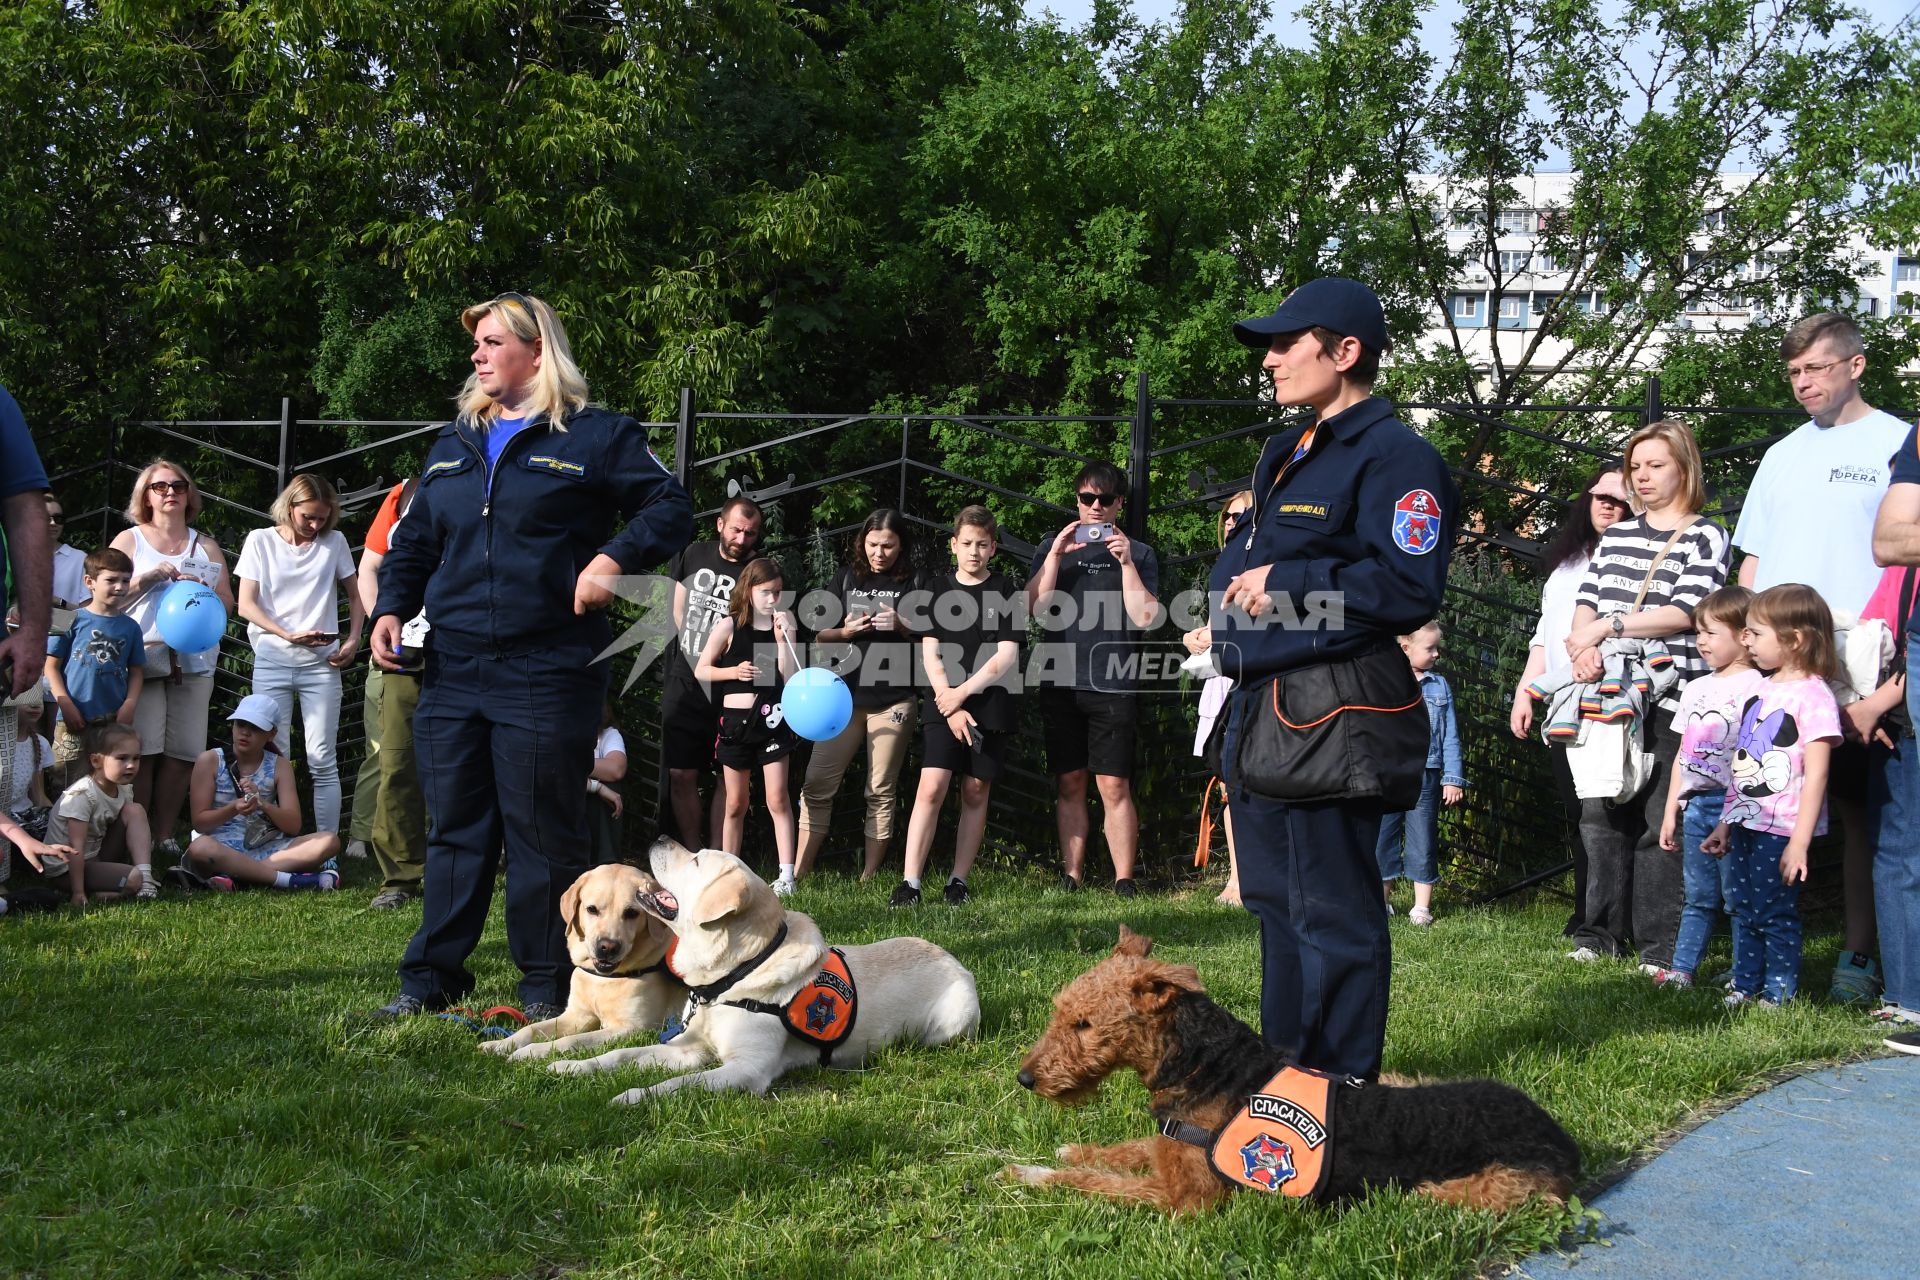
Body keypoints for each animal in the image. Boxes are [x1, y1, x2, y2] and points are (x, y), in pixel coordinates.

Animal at [483, 867, 687, 1066]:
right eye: (592, 909)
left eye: (632, 913)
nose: (607, 947)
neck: (603, 980)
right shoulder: (576, 1016)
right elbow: (531, 1029)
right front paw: (500, 1044)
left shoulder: (633, 1027)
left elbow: (572, 1040)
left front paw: (531, 1051)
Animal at [552, 840, 975, 1105]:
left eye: (697, 860)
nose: (659, 835)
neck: (731, 976)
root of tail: (955, 958)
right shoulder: (688, 1047)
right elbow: (620, 1054)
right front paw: (569, 1065)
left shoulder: (746, 1069)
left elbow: (677, 1083)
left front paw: (632, 1096)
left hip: (950, 1024)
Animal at [1006, 932, 1574, 1212]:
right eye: (1062, 1012)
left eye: (1083, 1023)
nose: (1026, 1078)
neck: (1211, 1064)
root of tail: (1564, 1139)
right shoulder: (1172, 1146)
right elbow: (1127, 1150)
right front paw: (1070, 1149)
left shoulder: (1186, 1199)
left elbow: (1091, 1182)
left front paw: (1027, 1173)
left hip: (1480, 1190)